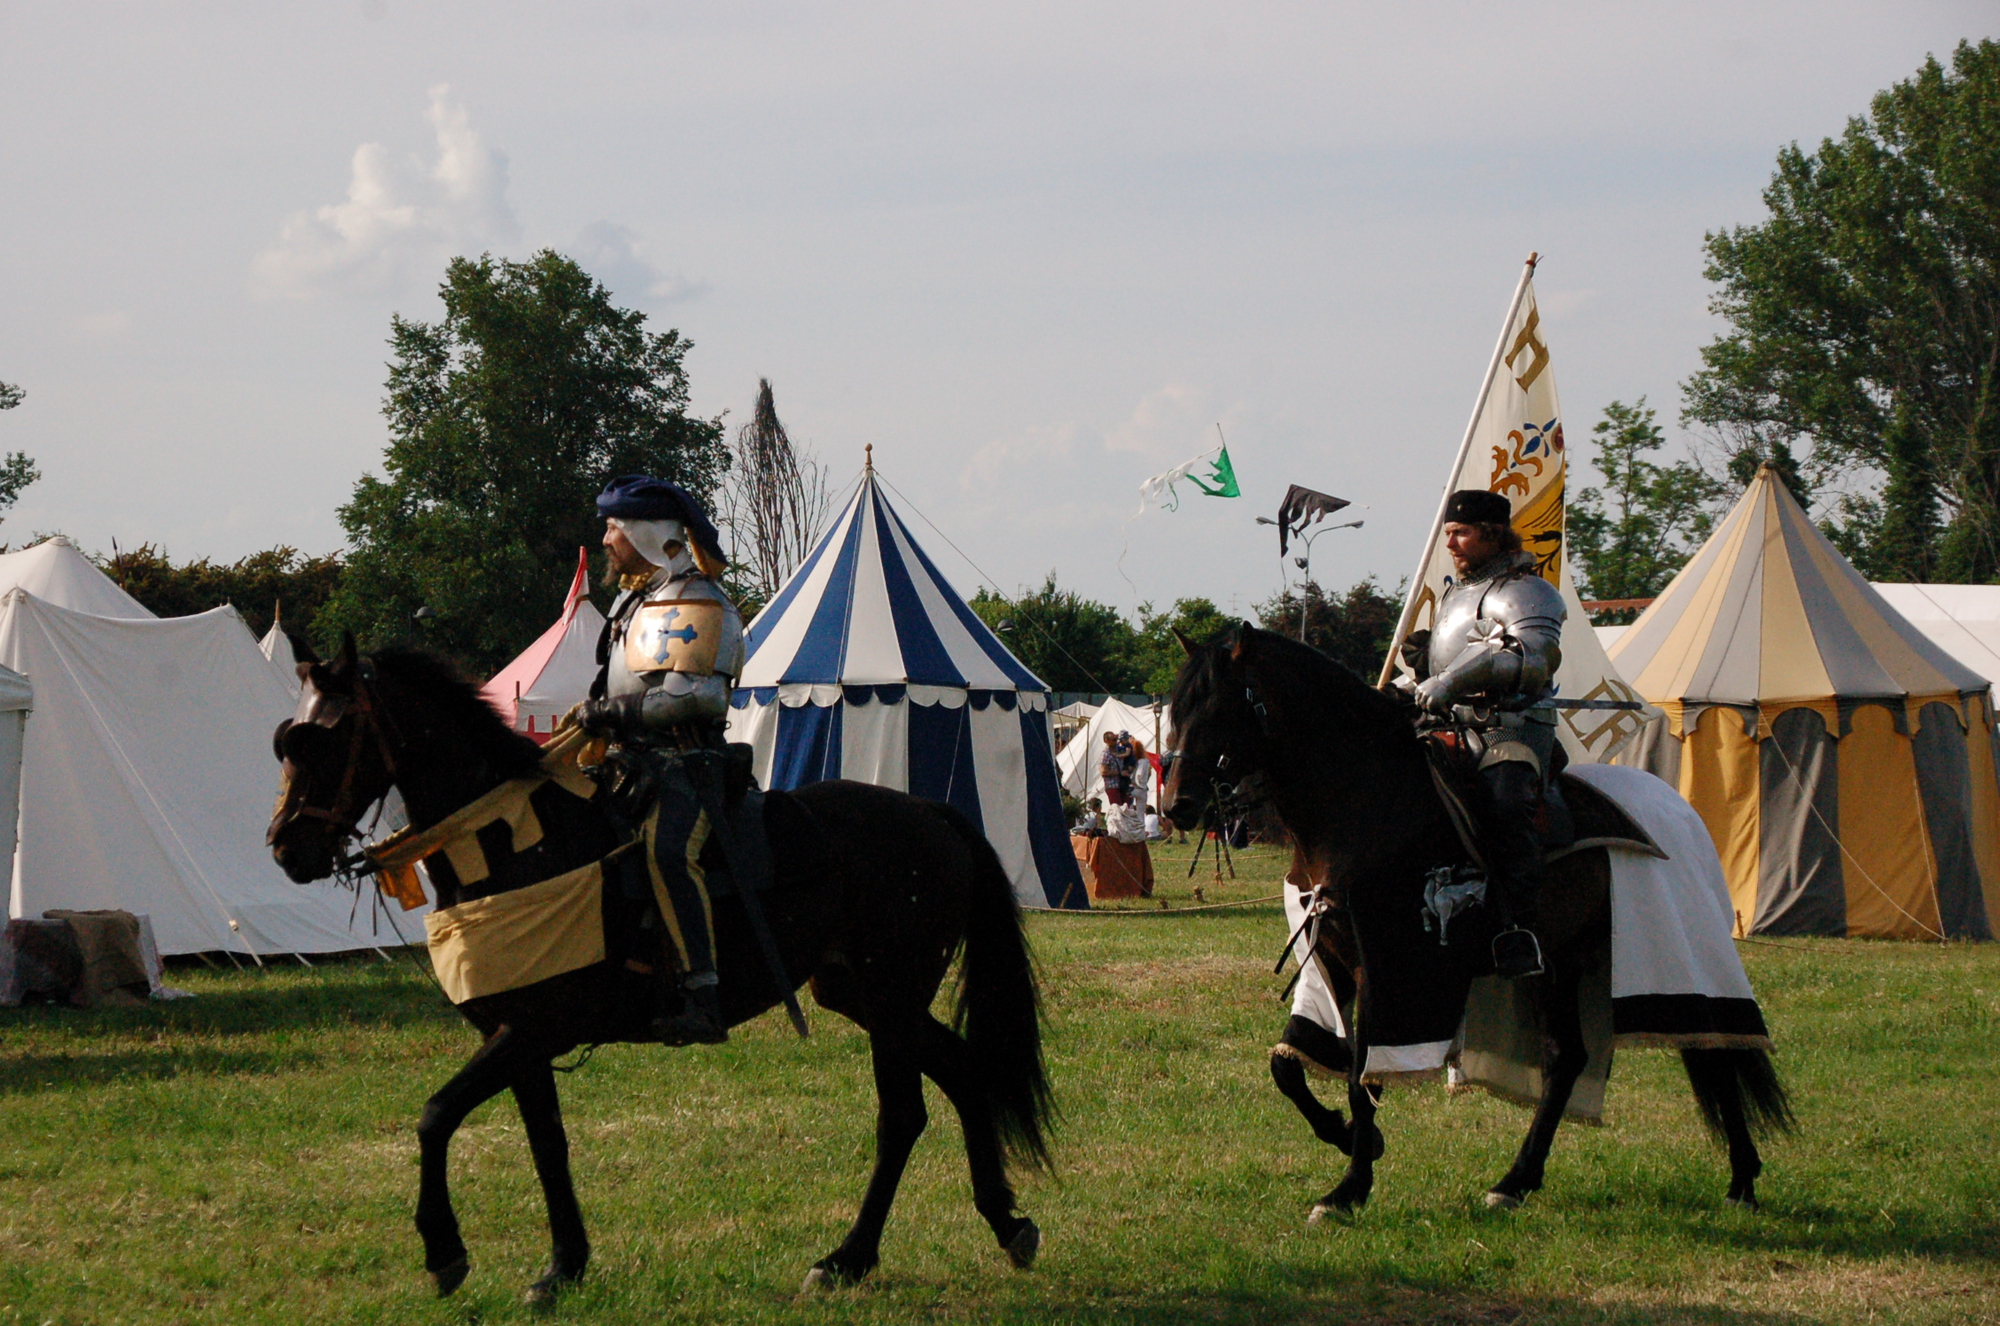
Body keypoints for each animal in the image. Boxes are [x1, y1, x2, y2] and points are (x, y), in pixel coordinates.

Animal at [266, 644, 1056, 1304]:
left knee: (903, 1116)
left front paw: (445, 1253)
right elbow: (546, 1145)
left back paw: (847, 1258)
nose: (285, 850)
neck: (516, 845)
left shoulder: (532, 1030)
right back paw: (1005, 1223)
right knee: (963, 1074)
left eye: (322, 740)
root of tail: (933, 813)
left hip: (892, 1000)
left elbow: (435, 1117)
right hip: (863, 995)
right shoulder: (518, 1038)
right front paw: (563, 1265)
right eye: (285, 739)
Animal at [1160, 632, 1800, 1224]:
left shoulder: (1388, 971)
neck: (1365, 801)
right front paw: (1351, 1141)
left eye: (1220, 707)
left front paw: (1348, 1189)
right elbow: (1289, 1067)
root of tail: (1682, 810)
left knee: (1712, 1052)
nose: (1176, 807)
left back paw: (1742, 1181)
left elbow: (1361, 1078)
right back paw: (1516, 1181)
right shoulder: (1331, 962)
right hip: (1559, 964)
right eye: (1175, 709)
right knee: (1568, 1059)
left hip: (1672, 952)